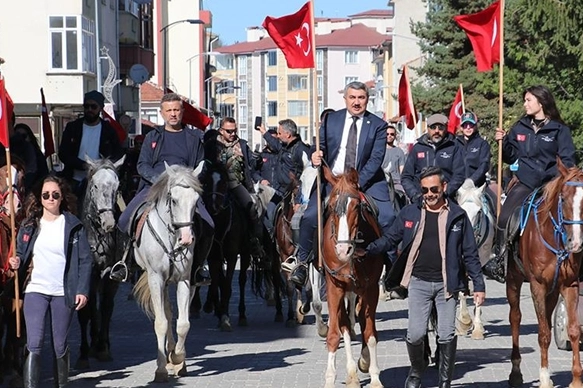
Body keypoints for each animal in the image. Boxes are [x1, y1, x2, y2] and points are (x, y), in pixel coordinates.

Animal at [131, 163, 204, 382]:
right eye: (173, 199)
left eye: (196, 201)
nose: (186, 239)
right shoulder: (156, 278)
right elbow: (161, 322)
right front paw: (161, 368)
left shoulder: (184, 280)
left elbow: (183, 324)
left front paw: (178, 357)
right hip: (159, 282)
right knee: (166, 312)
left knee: (174, 313)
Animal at [320, 167, 384, 388]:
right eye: (331, 206)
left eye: (356, 206)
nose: (342, 250)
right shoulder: (334, 287)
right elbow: (334, 334)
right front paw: (330, 377)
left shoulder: (371, 288)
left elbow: (370, 333)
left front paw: (374, 376)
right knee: (345, 326)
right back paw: (351, 374)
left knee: (362, 321)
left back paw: (363, 362)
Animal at [506, 159, 583, 386]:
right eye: (563, 198)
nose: (575, 243)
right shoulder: (537, 286)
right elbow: (542, 334)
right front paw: (544, 379)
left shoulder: (569, 285)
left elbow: (572, 330)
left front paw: (576, 380)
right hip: (513, 281)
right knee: (515, 318)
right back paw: (515, 372)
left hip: (553, 291)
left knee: (547, 320)